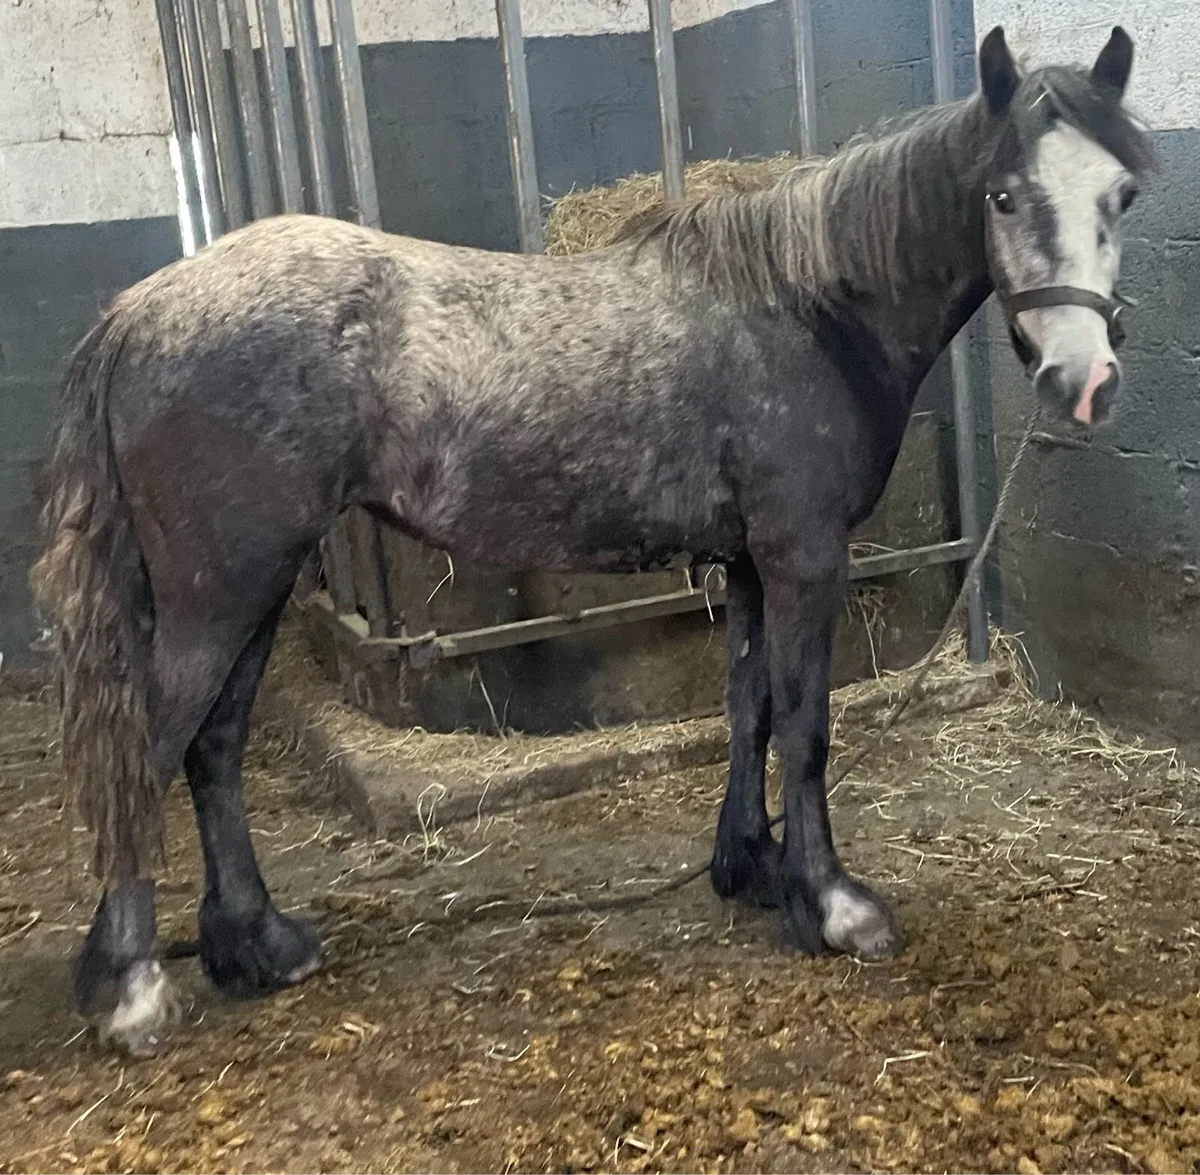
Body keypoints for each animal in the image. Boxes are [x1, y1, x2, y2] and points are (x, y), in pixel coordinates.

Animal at [31, 25, 1153, 1057]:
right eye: (1002, 195)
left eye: (1124, 195)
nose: (1083, 379)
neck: (805, 309)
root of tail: (140, 308)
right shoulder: (804, 555)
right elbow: (804, 723)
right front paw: (834, 904)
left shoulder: (750, 562)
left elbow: (747, 708)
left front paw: (750, 867)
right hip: (222, 588)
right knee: (151, 749)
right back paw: (132, 991)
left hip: (250, 587)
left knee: (213, 748)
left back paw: (256, 944)